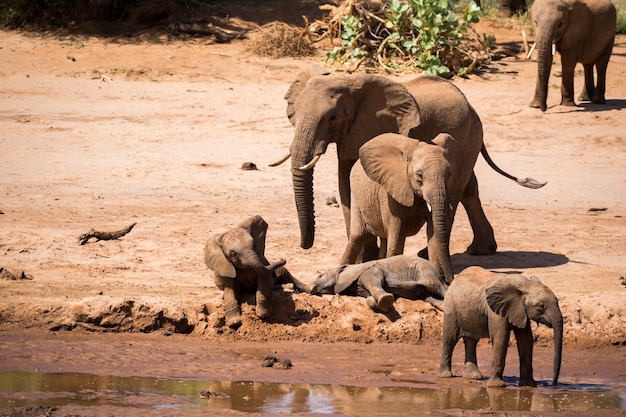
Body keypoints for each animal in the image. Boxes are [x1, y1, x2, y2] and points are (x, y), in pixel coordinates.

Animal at [270, 67, 544, 266]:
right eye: (294, 112)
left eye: (334, 117)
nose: (304, 245)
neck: (349, 80)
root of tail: (471, 106)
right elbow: (345, 181)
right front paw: (362, 259)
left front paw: (366, 259)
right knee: (469, 188)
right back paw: (481, 250)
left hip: (468, 136)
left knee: (456, 191)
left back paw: (428, 254)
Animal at [308, 254, 446, 312]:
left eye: (320, 275)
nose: (312, 287)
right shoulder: (357, 287)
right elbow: (368, 297)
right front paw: (382, 304)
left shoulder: (370, 270)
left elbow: (374, 282)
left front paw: (386, 299)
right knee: (430, 298)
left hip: (425, 271)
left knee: (436, 287)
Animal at [338, 133, 460, 282]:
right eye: (419, 175)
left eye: (449, 174)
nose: (451, 280)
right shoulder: (390, 193)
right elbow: (397, 233)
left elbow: (433, 234)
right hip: (356, 195)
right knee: (359, 236)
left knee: (384, 238)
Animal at [436, 266, 564, 386]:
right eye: (541, 306)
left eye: (557, 301)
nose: (552, 384)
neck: (525, 284)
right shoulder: (495, 311)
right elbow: (501, 339)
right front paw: (496, 386)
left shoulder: (520, 310)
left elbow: (526, 340)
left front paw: (529, 385)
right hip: (451, 306)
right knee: (450, 339)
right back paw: (446, 376)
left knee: (471, 340)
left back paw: (473, 377)